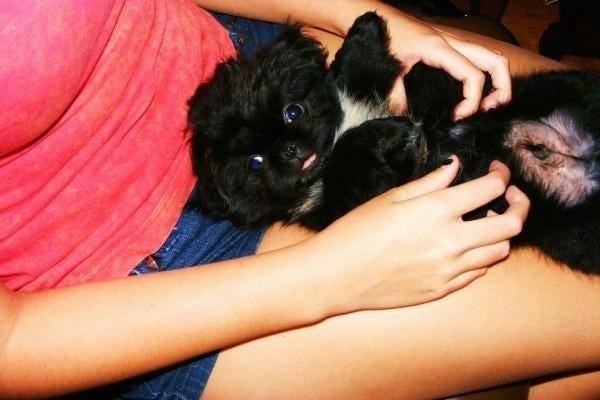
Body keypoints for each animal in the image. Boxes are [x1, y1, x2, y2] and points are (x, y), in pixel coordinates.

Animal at [189, 11, 600, 276]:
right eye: (255, 164)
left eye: (293, 111)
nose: (287, 151)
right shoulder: (352, 196)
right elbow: (352, 155)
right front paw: (391, 131)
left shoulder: (364, 90)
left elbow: (360, 67)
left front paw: (366, 27)